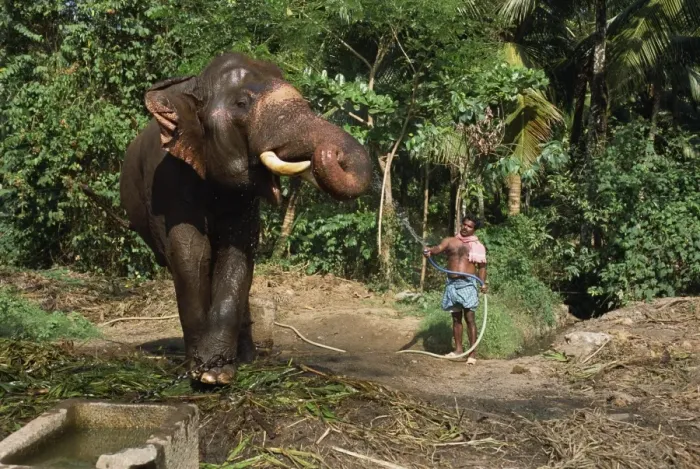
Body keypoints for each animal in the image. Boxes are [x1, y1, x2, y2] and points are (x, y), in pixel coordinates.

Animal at [119, 52, 372, 385]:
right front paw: (201, 372)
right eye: (242, 103)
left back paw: (247, 358)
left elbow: (236, 254)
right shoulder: (169, 182)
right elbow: (192, 255)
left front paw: (218, 372)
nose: (330, 152)